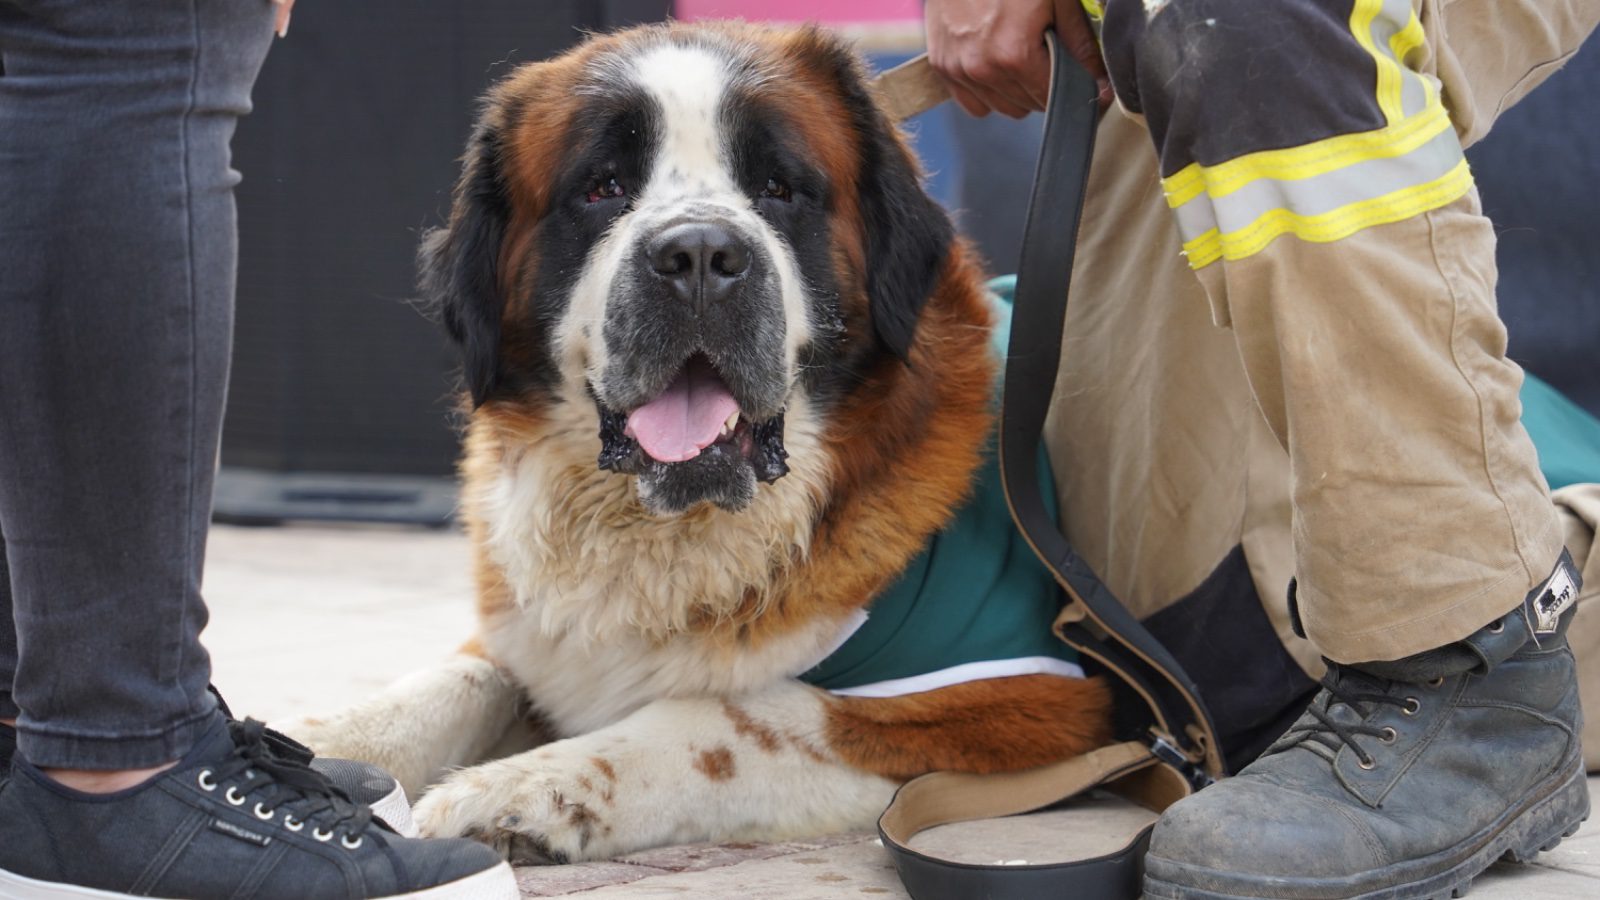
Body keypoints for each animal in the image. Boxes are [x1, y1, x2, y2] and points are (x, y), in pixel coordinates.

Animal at [281, 21, 1113, 858]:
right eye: (601, 187)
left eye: (779, 188)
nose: (702, 256)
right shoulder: (531, 634)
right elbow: (458, 679)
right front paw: (317, 743)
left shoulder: (1008, 694)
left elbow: (736, 716)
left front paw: (519, 791)